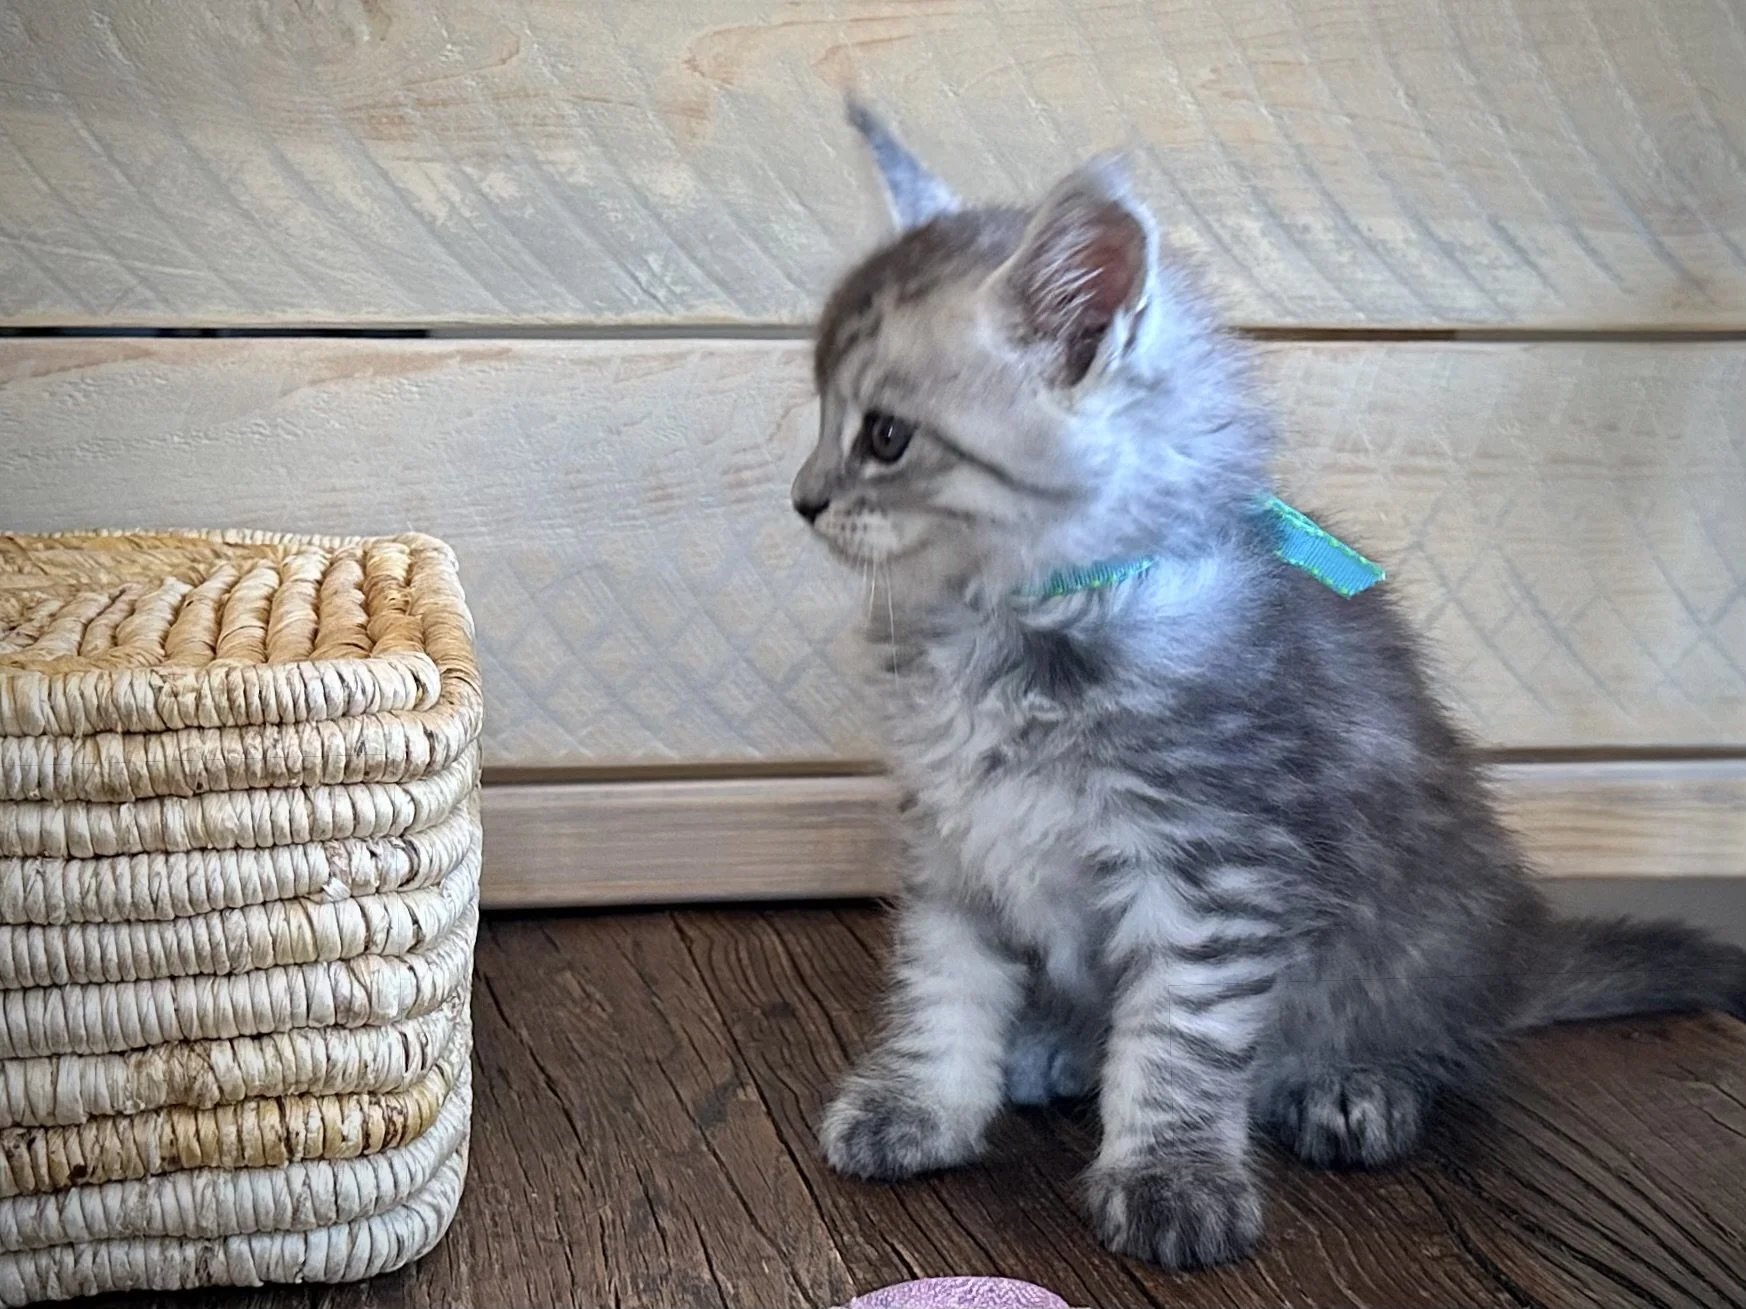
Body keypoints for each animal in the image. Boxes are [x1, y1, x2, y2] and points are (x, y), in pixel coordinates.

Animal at [791, 103, 1746, 1271]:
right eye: (820, 416)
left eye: (884, 436)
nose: (803, 498)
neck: (1019, 623)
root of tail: (1515, 954)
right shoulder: (956, 838)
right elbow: (941, 990)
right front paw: (919, 1106)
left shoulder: (1211, 870)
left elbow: (1177, 1041)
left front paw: (1172, 1176)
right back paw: (1057, 1040)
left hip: (1420, 927)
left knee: (1431, 1040)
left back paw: (1353, 1083)